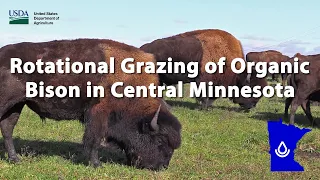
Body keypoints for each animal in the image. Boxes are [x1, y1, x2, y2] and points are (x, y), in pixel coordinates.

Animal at [0, 39, 181, 170]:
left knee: (8, 128)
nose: (162, 166)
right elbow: (95, 139)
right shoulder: (99, 114)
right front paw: (96, 164)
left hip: (16, 105)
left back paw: (15, 159)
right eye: (160, 141)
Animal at [140, 28, 268, 109]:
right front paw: (203, 107)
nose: (252, 106)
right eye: (252, 89)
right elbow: (204, 95)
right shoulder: (204, 81)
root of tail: (142, 49)